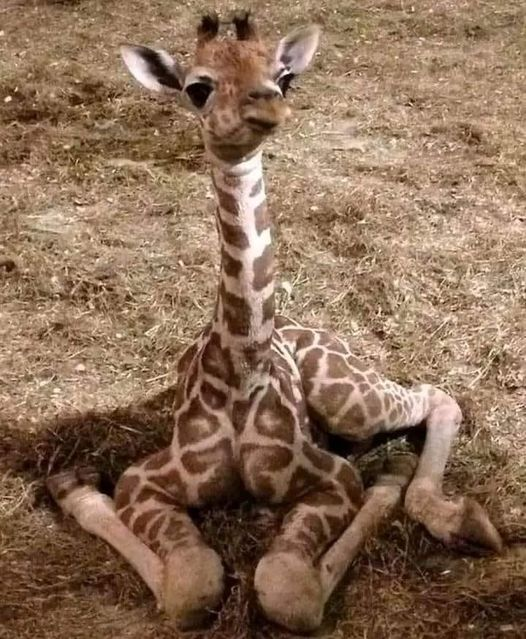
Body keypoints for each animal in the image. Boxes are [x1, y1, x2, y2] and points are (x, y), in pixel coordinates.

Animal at [46, 12, 503, 633]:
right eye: (198, 87)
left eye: (284, 76)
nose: (269, 107)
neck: (241, 365)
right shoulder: (146, 481)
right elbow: (191, 587)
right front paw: (73, 486)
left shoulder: (332, 478)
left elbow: (286, 586)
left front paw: (388, 484)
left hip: (349, 398)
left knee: (437, 396)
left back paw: (453, 514)